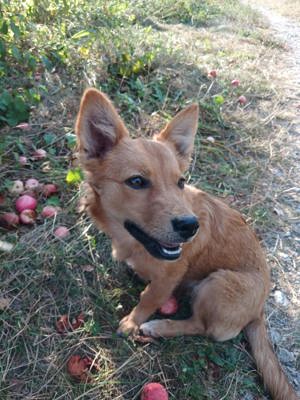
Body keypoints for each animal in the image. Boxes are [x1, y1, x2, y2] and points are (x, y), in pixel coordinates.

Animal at [75, 88, 298, 400]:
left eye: (180, 182)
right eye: (136, 181)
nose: (190, 226)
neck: (134, 242)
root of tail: (260, 310)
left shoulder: (170, 276)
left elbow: (149, 298)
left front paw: (132, 322)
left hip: (219, 283)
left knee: (202, 327)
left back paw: (158, 326)